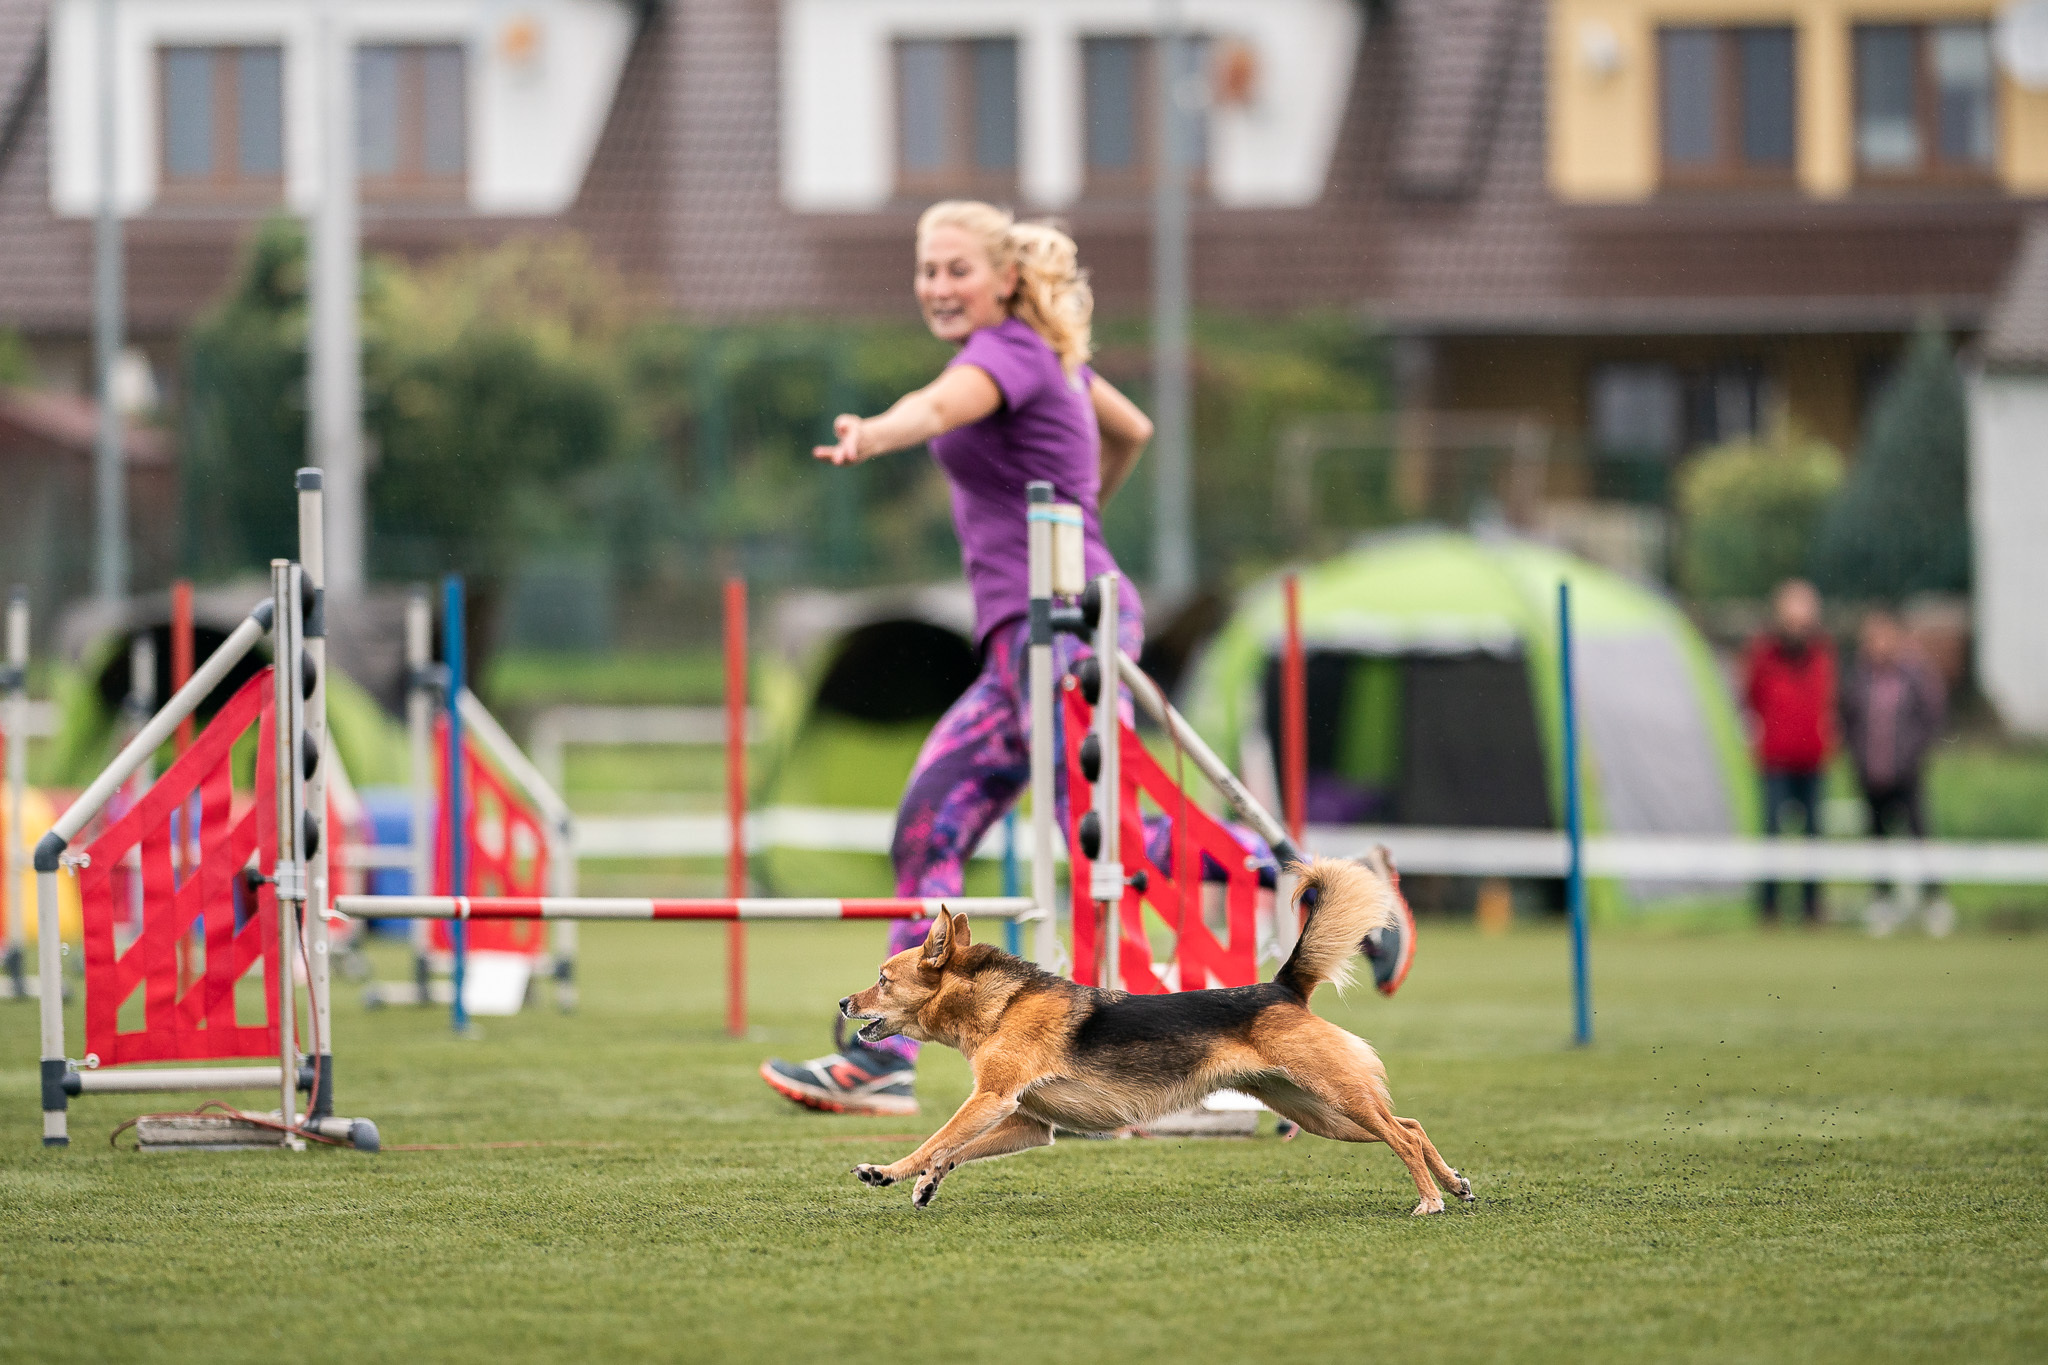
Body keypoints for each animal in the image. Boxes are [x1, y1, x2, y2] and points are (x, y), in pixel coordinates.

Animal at [835, 855, 1474, 1219]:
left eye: (882, 978)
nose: (843, 1002)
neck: (1000, 1005)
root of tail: (1283, 987)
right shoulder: (1028, 1123)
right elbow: (952, 1151)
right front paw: (924, 1186)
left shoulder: (990, 1100)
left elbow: (933, 1141)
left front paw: (887, 1172)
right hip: (1320, 1112)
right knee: (1410, 1125)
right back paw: (1457, 1185)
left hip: (1333, 1094)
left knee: (1403, 1136)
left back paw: (1431, 1200)